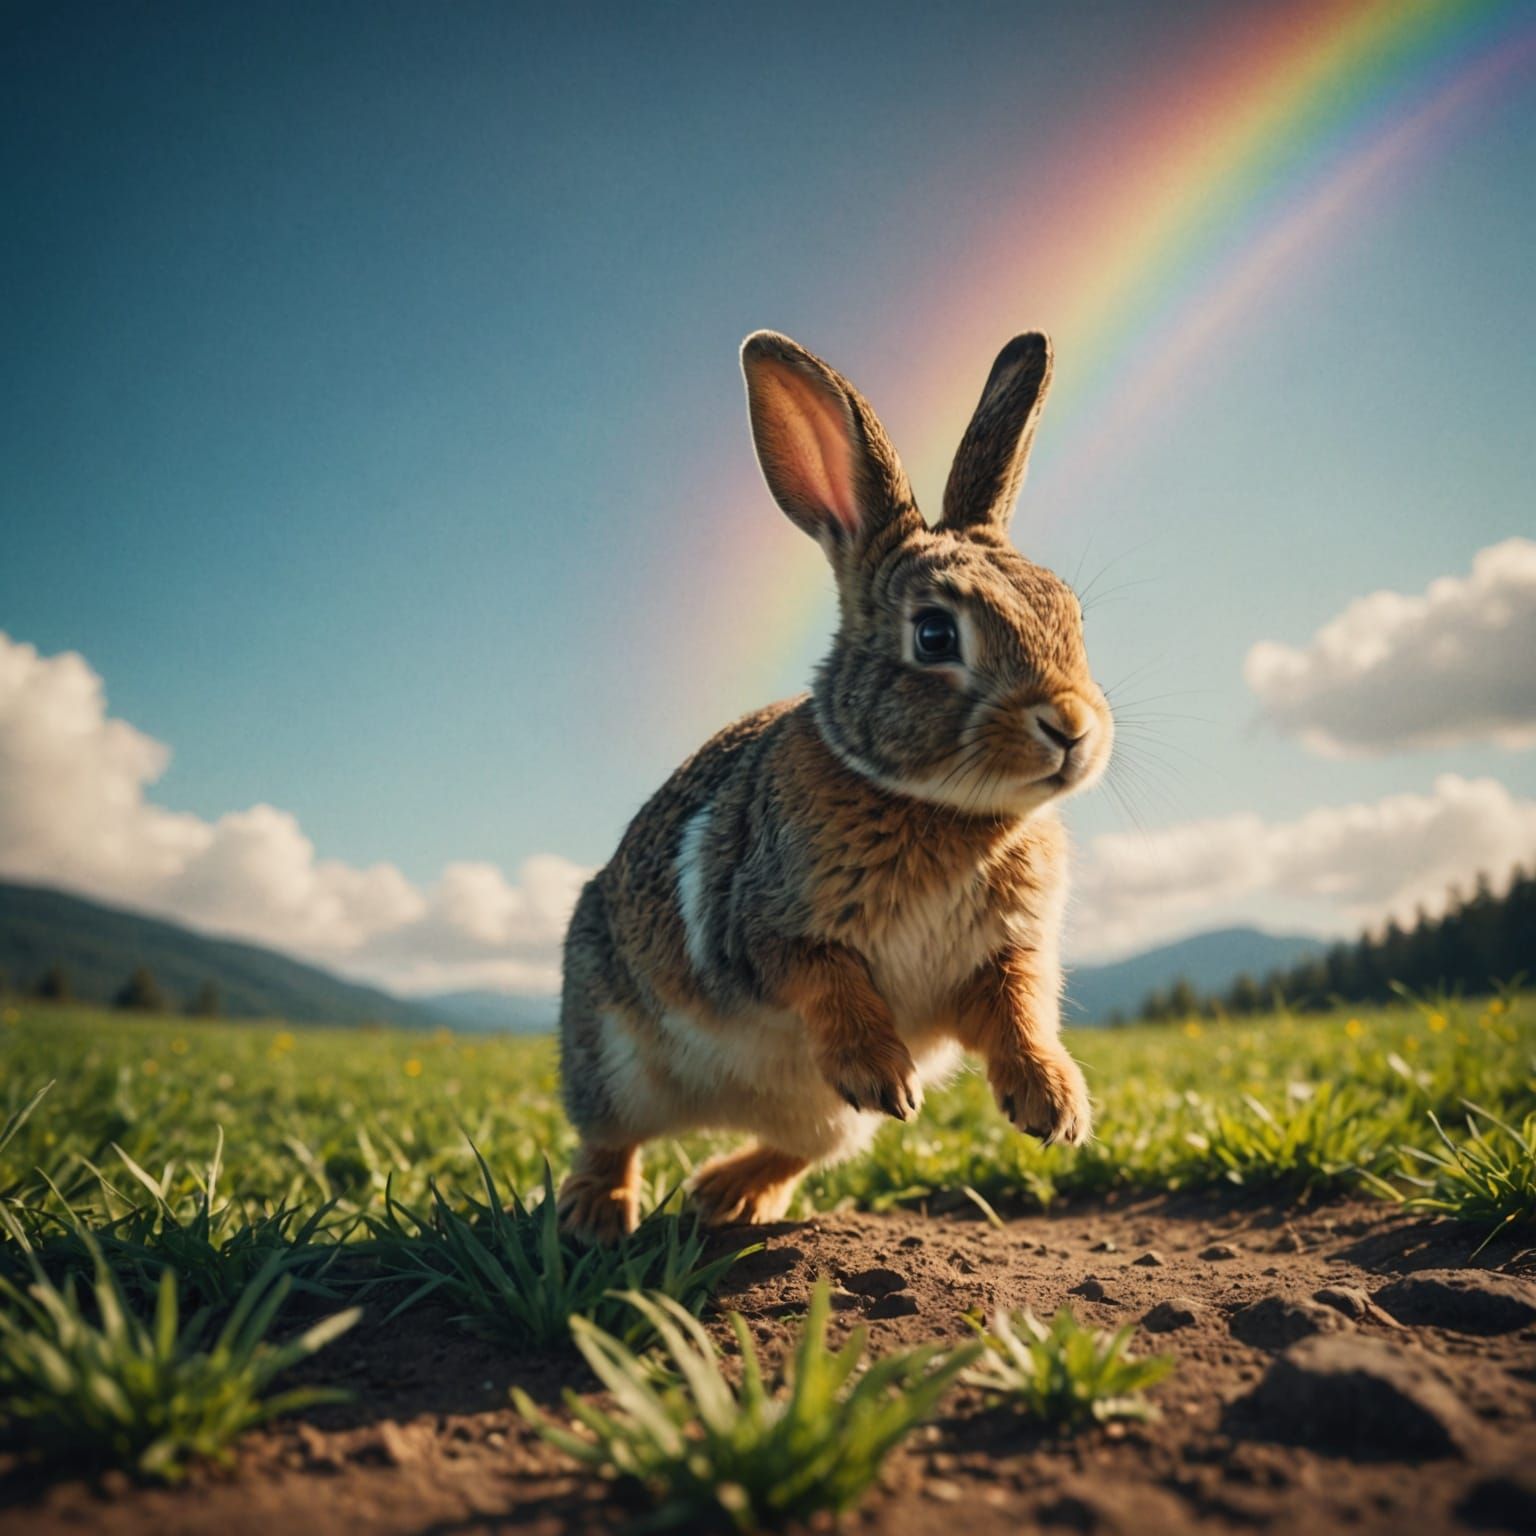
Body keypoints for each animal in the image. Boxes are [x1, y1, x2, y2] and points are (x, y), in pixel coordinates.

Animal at [557, 329, 1113, 1242]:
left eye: (1070, 616)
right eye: (935, 635)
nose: (1070, 726)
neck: (945, 810)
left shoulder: (1001, 958)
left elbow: (1020, 1011)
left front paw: (1054, 1103)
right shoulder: (767, 932)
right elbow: (829, 981)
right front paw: (884, 1071)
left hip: (825, 1122)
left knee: (798, 1151)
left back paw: (726, 1194)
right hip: (607, 1052)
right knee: (612, 1137)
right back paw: (596, 1215)